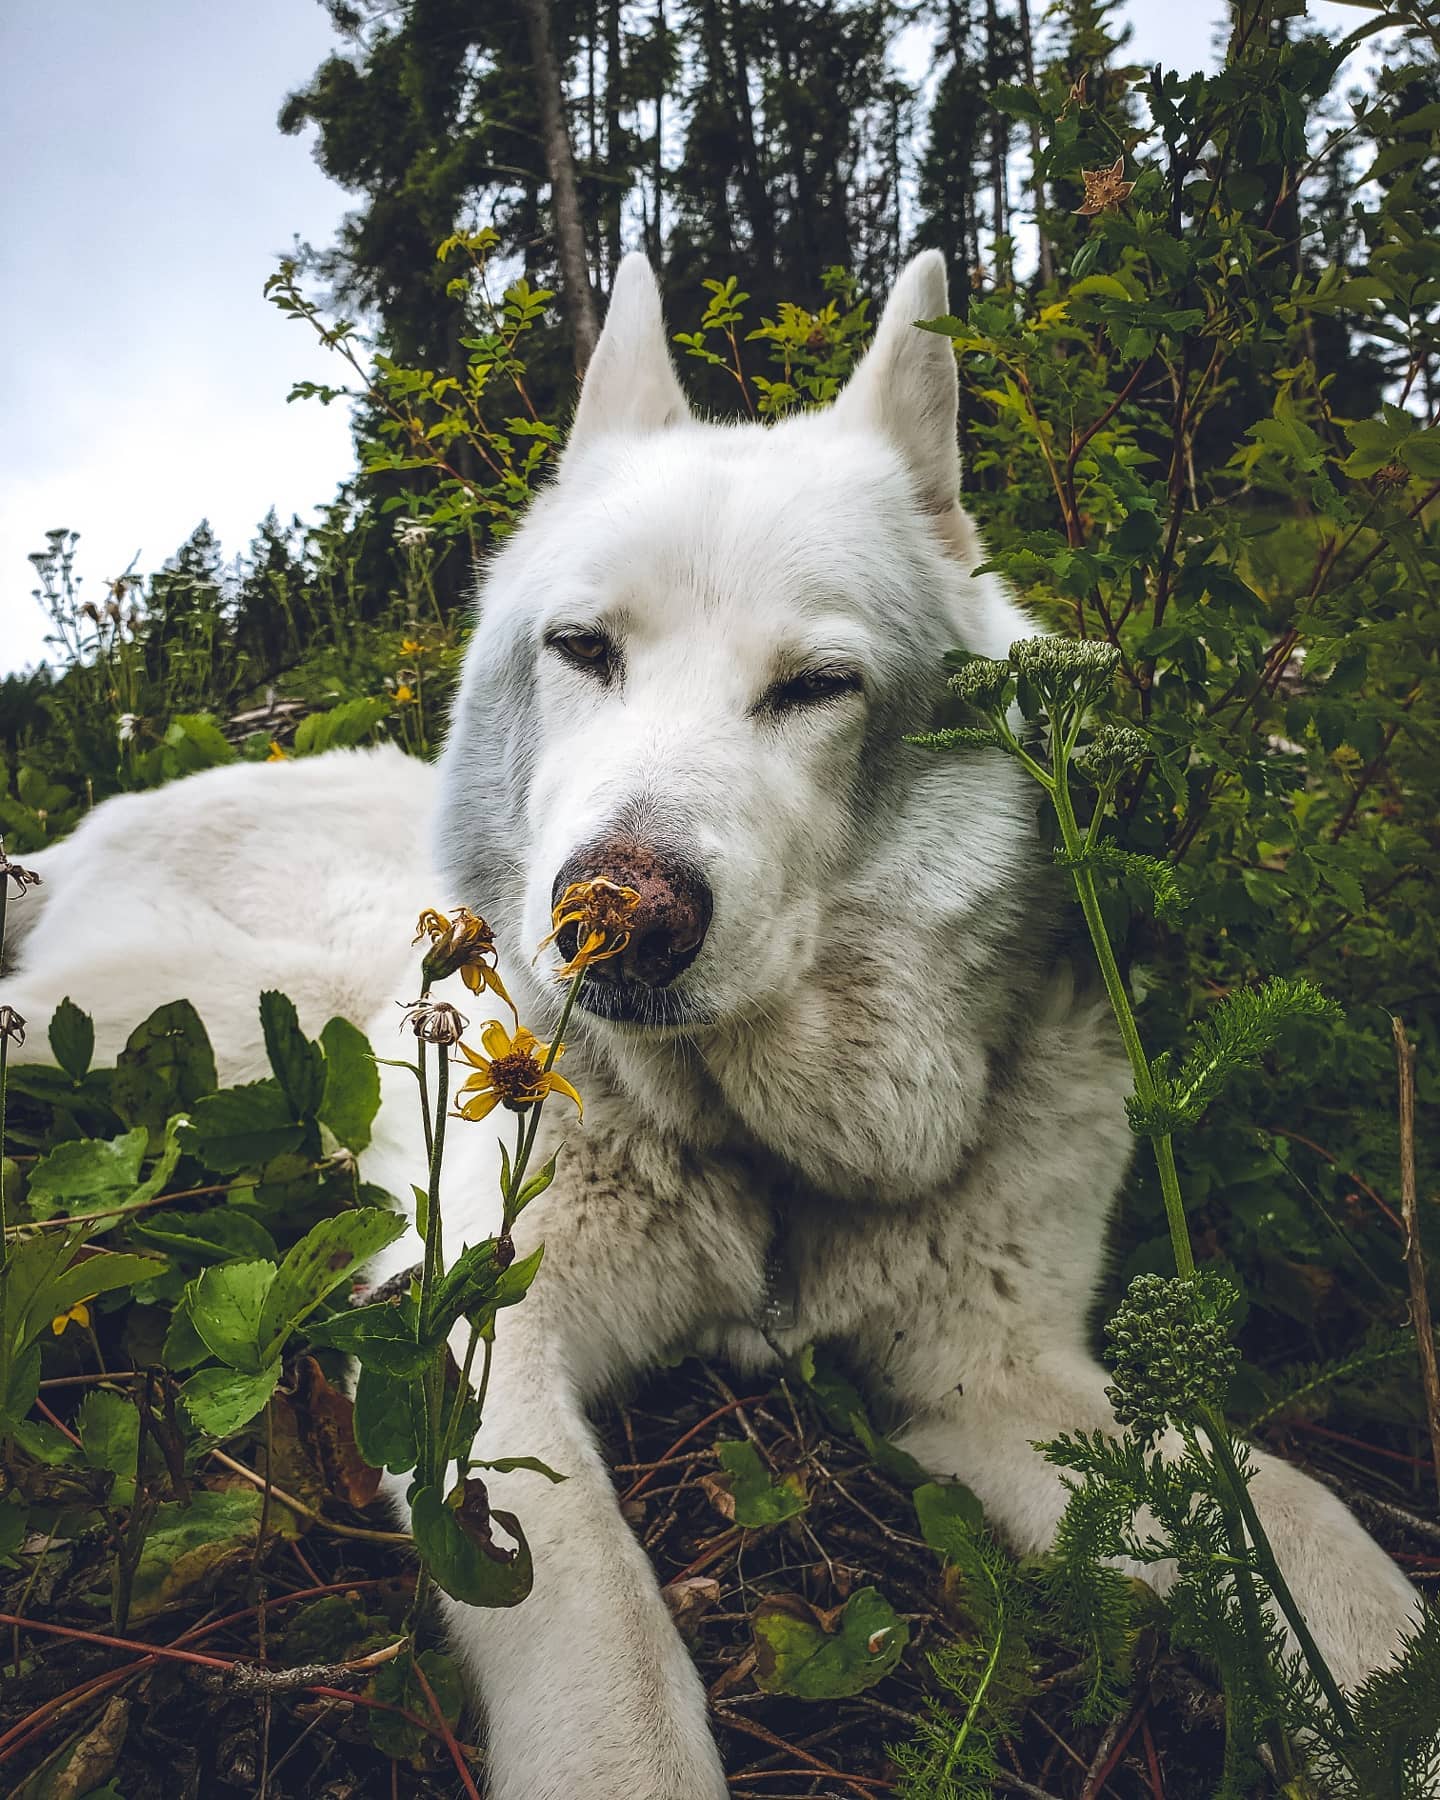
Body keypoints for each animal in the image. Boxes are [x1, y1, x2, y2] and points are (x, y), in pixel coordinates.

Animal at [6, 251, 1424, 1798]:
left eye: (816, 687)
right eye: (582, 649)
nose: (615, 916)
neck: (762, 1154)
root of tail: (91, 832)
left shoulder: (1002, 1380)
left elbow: (1309, 1535)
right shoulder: (484, 1336)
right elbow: (597, 1641)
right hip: (137, 1028)